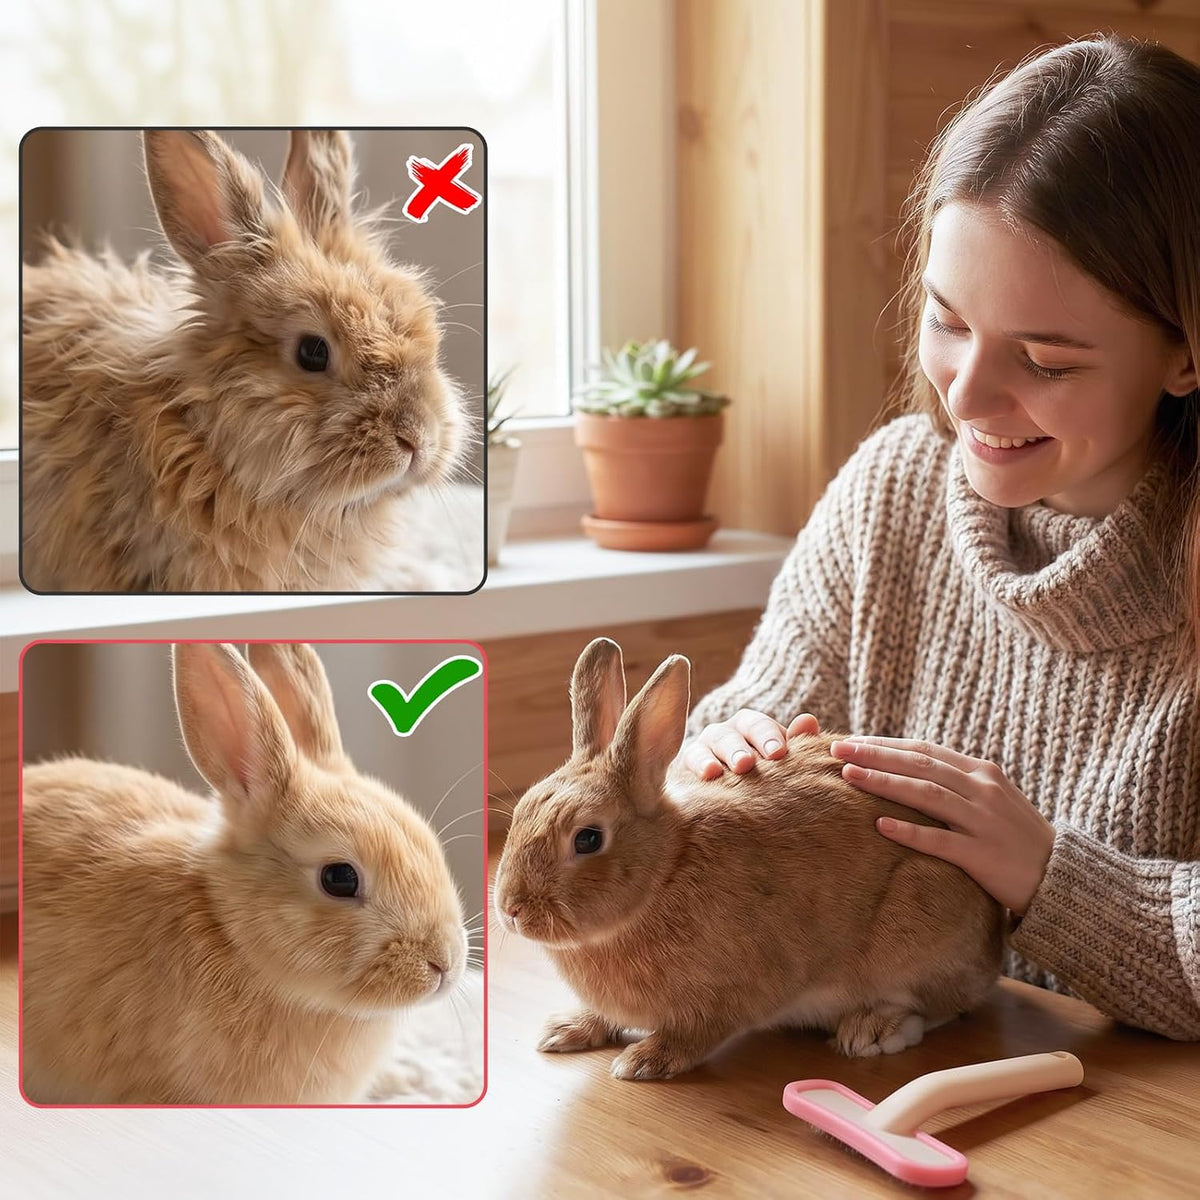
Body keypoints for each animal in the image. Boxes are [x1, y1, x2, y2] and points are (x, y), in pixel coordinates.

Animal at [493, 638, 1005, 1081]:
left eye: (587, 839)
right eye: (521, 813)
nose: (511, 910)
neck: (665, 873)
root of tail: (992, 940)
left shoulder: (730, 994)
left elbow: (697, 1033)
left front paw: (644, 1061)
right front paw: (565, 1029)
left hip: (921, 920)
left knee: (940, 1006)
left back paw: (873, 1031)